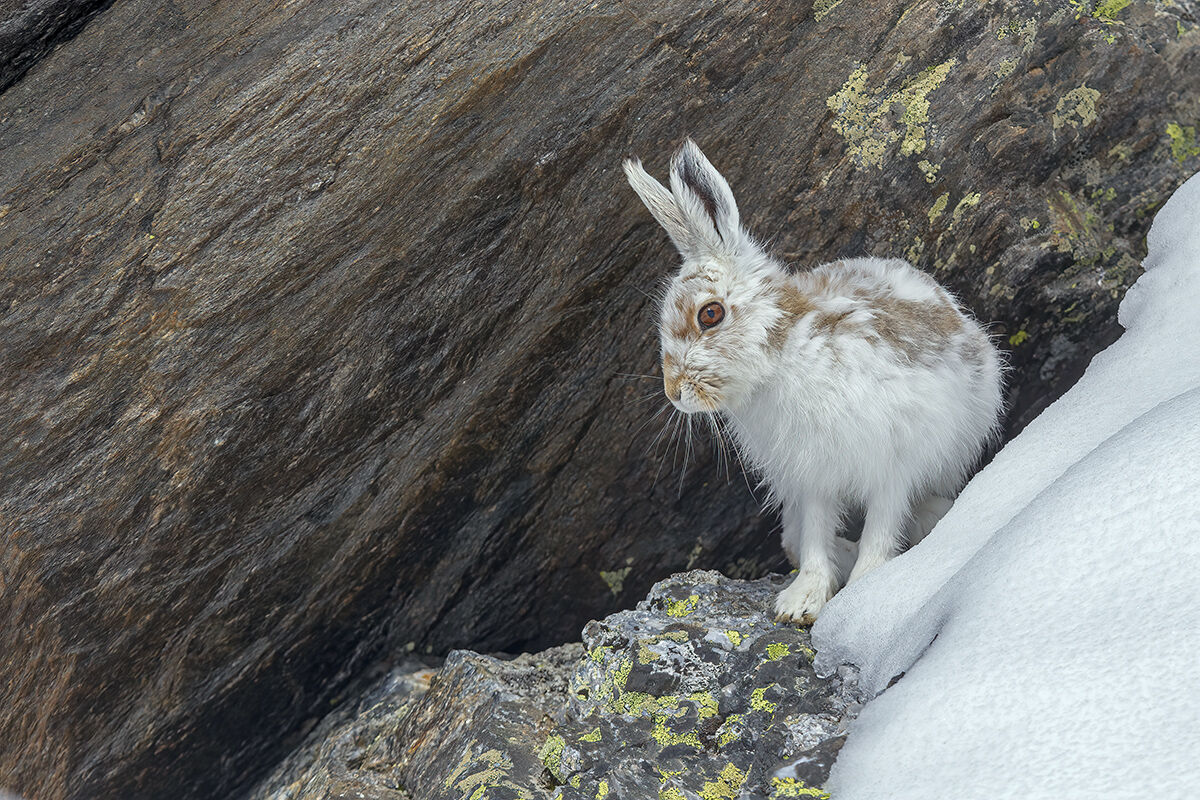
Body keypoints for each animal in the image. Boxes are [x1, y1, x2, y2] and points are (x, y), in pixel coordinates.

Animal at [623, 140, 1004, 624]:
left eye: (710, 314)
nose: (675, 393)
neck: (781, 360)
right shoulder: (814, 474)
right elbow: (817, 535)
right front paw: (801, 602)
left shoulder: (891, 458)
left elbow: (882, 524)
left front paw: (863, 590)